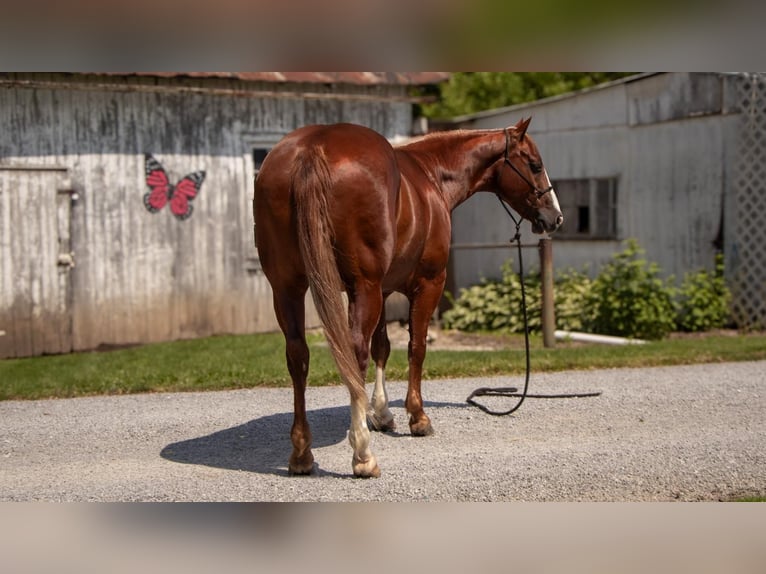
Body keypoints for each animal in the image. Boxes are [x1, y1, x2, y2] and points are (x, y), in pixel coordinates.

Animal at [255, 117, 560, 476]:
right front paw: (417, 417)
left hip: (287, 288)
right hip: (361, 287)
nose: (554, 217)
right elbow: (416, 347)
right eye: (535, 165)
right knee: (354, 351)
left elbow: (383, 347)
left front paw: (382, 413)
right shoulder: (427, 283)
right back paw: (362, 455)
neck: (432, 174)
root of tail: (312, 149)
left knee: (298, 356)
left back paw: (302, 453)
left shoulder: (384, 289)